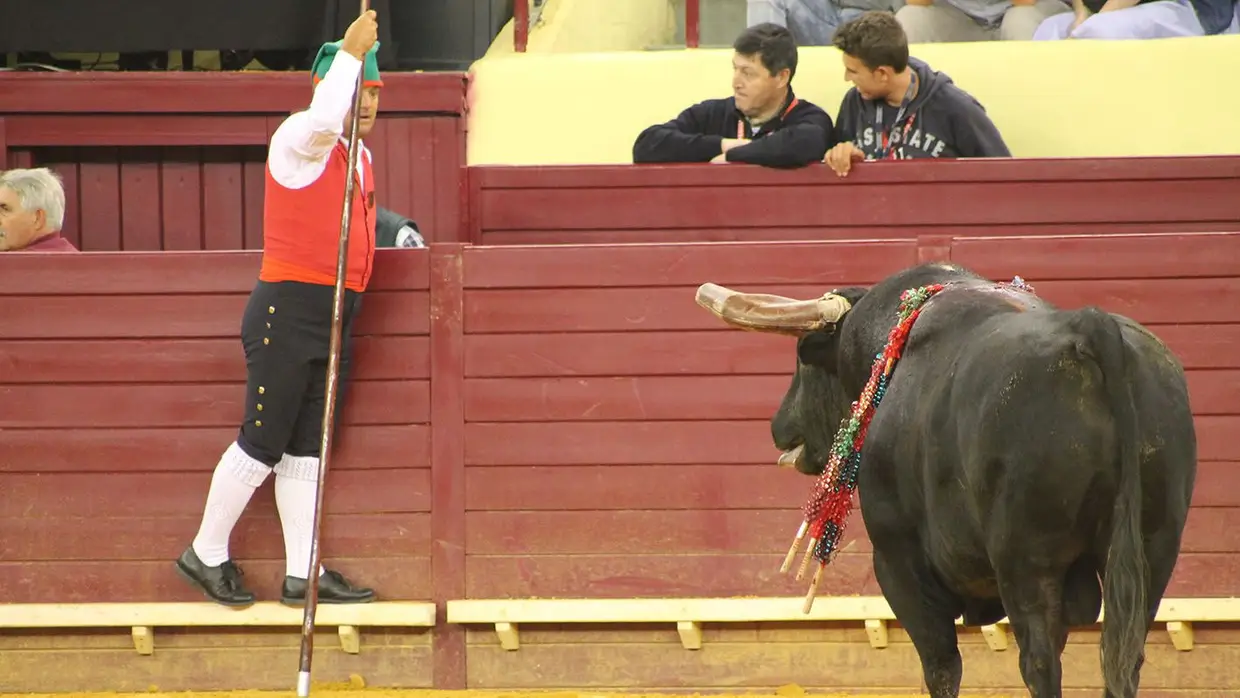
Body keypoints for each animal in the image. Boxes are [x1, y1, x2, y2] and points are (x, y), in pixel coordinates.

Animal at [699, 264, 1190, 698]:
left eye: (802, 359)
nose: (778, 425)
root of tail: (1090, 328)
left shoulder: (898, 565)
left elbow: (940, 667)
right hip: (1155, 549)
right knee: (1125, 657)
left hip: (1025, 562)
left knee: (1041, 662)